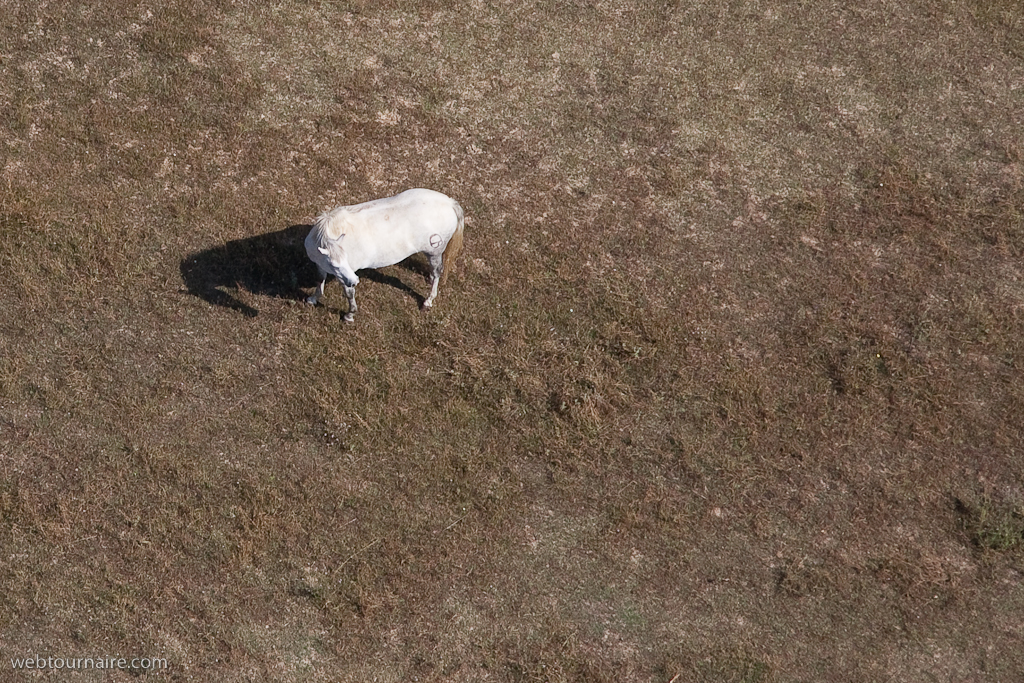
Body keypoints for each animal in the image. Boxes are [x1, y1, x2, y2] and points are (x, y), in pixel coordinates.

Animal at [303, 188, 464, 321]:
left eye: (347, 258)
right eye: (333, 264)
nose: (355, 281)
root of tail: (450, 203)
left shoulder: (346, 276)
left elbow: (349, 295)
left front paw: (349, 315)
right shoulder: (321, 265)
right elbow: (320, 281)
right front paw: (312, 299)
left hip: (434, 253)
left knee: (437, 273)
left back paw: (428, 301)